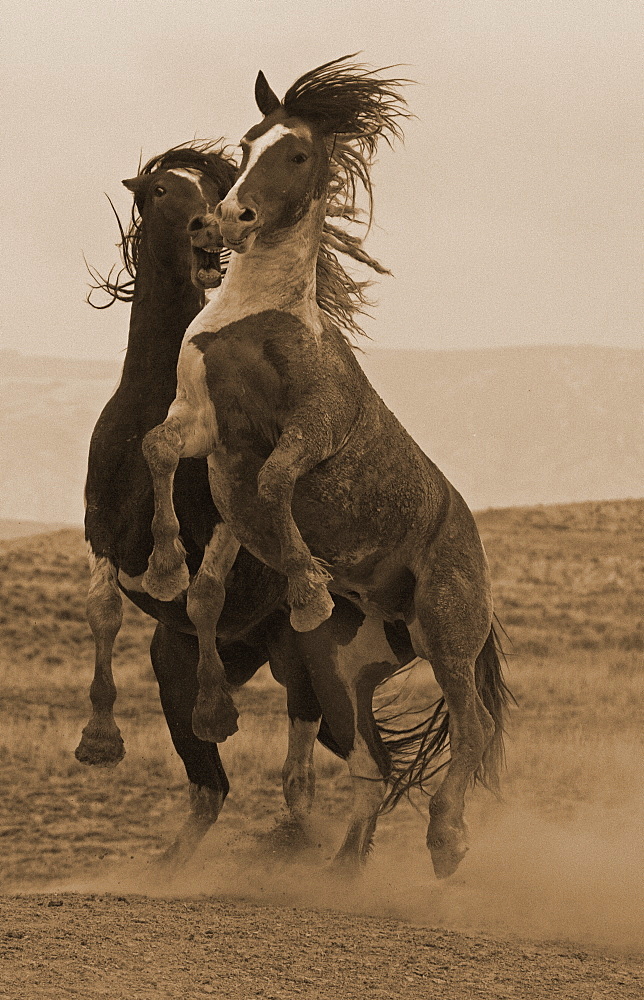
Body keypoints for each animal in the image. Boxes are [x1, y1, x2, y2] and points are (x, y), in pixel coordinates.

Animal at [142, 60, 512, 876]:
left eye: (298, 152)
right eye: (247, 142)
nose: (227, 219)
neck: (257, 319)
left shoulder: (311, 430)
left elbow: (277, 485)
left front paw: (309, 590)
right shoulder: (207, 431)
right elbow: (196, 559)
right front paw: (170, 581)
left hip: (447, 632)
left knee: (470, 729)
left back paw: (447, 841)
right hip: (350, 673)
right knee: (374, 765)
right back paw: (344, 869)